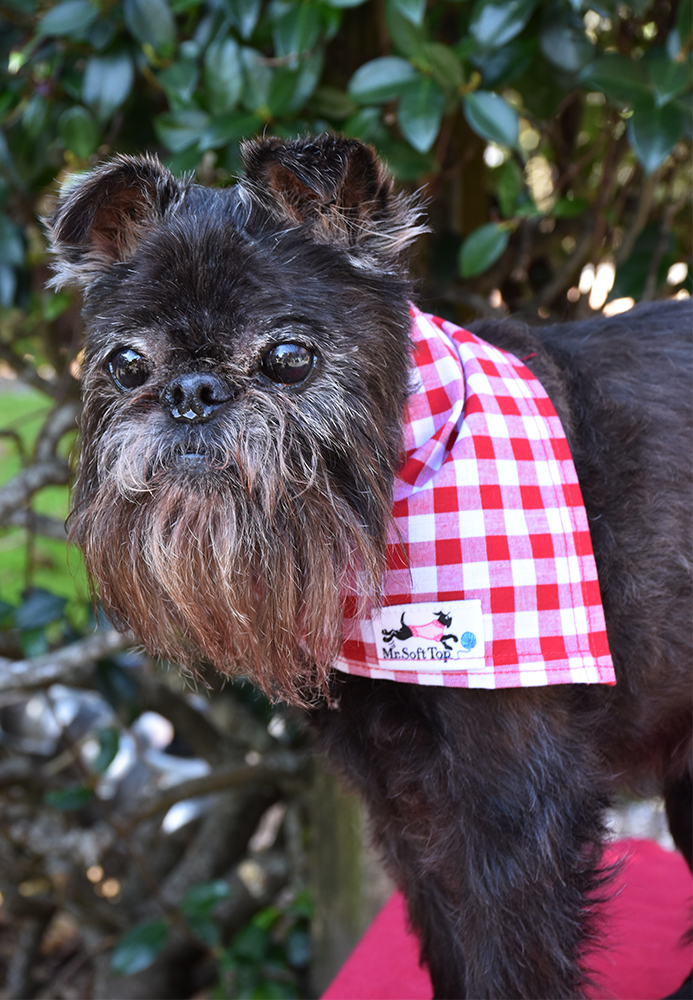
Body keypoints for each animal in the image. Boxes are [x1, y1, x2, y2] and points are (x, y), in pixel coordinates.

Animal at [46, 135, 692, 1000]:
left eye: (288, 357)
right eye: (125, 365)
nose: (190, 391)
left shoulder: (513, 819)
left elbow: (506, 962)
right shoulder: (407, 810)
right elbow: (454, 949)